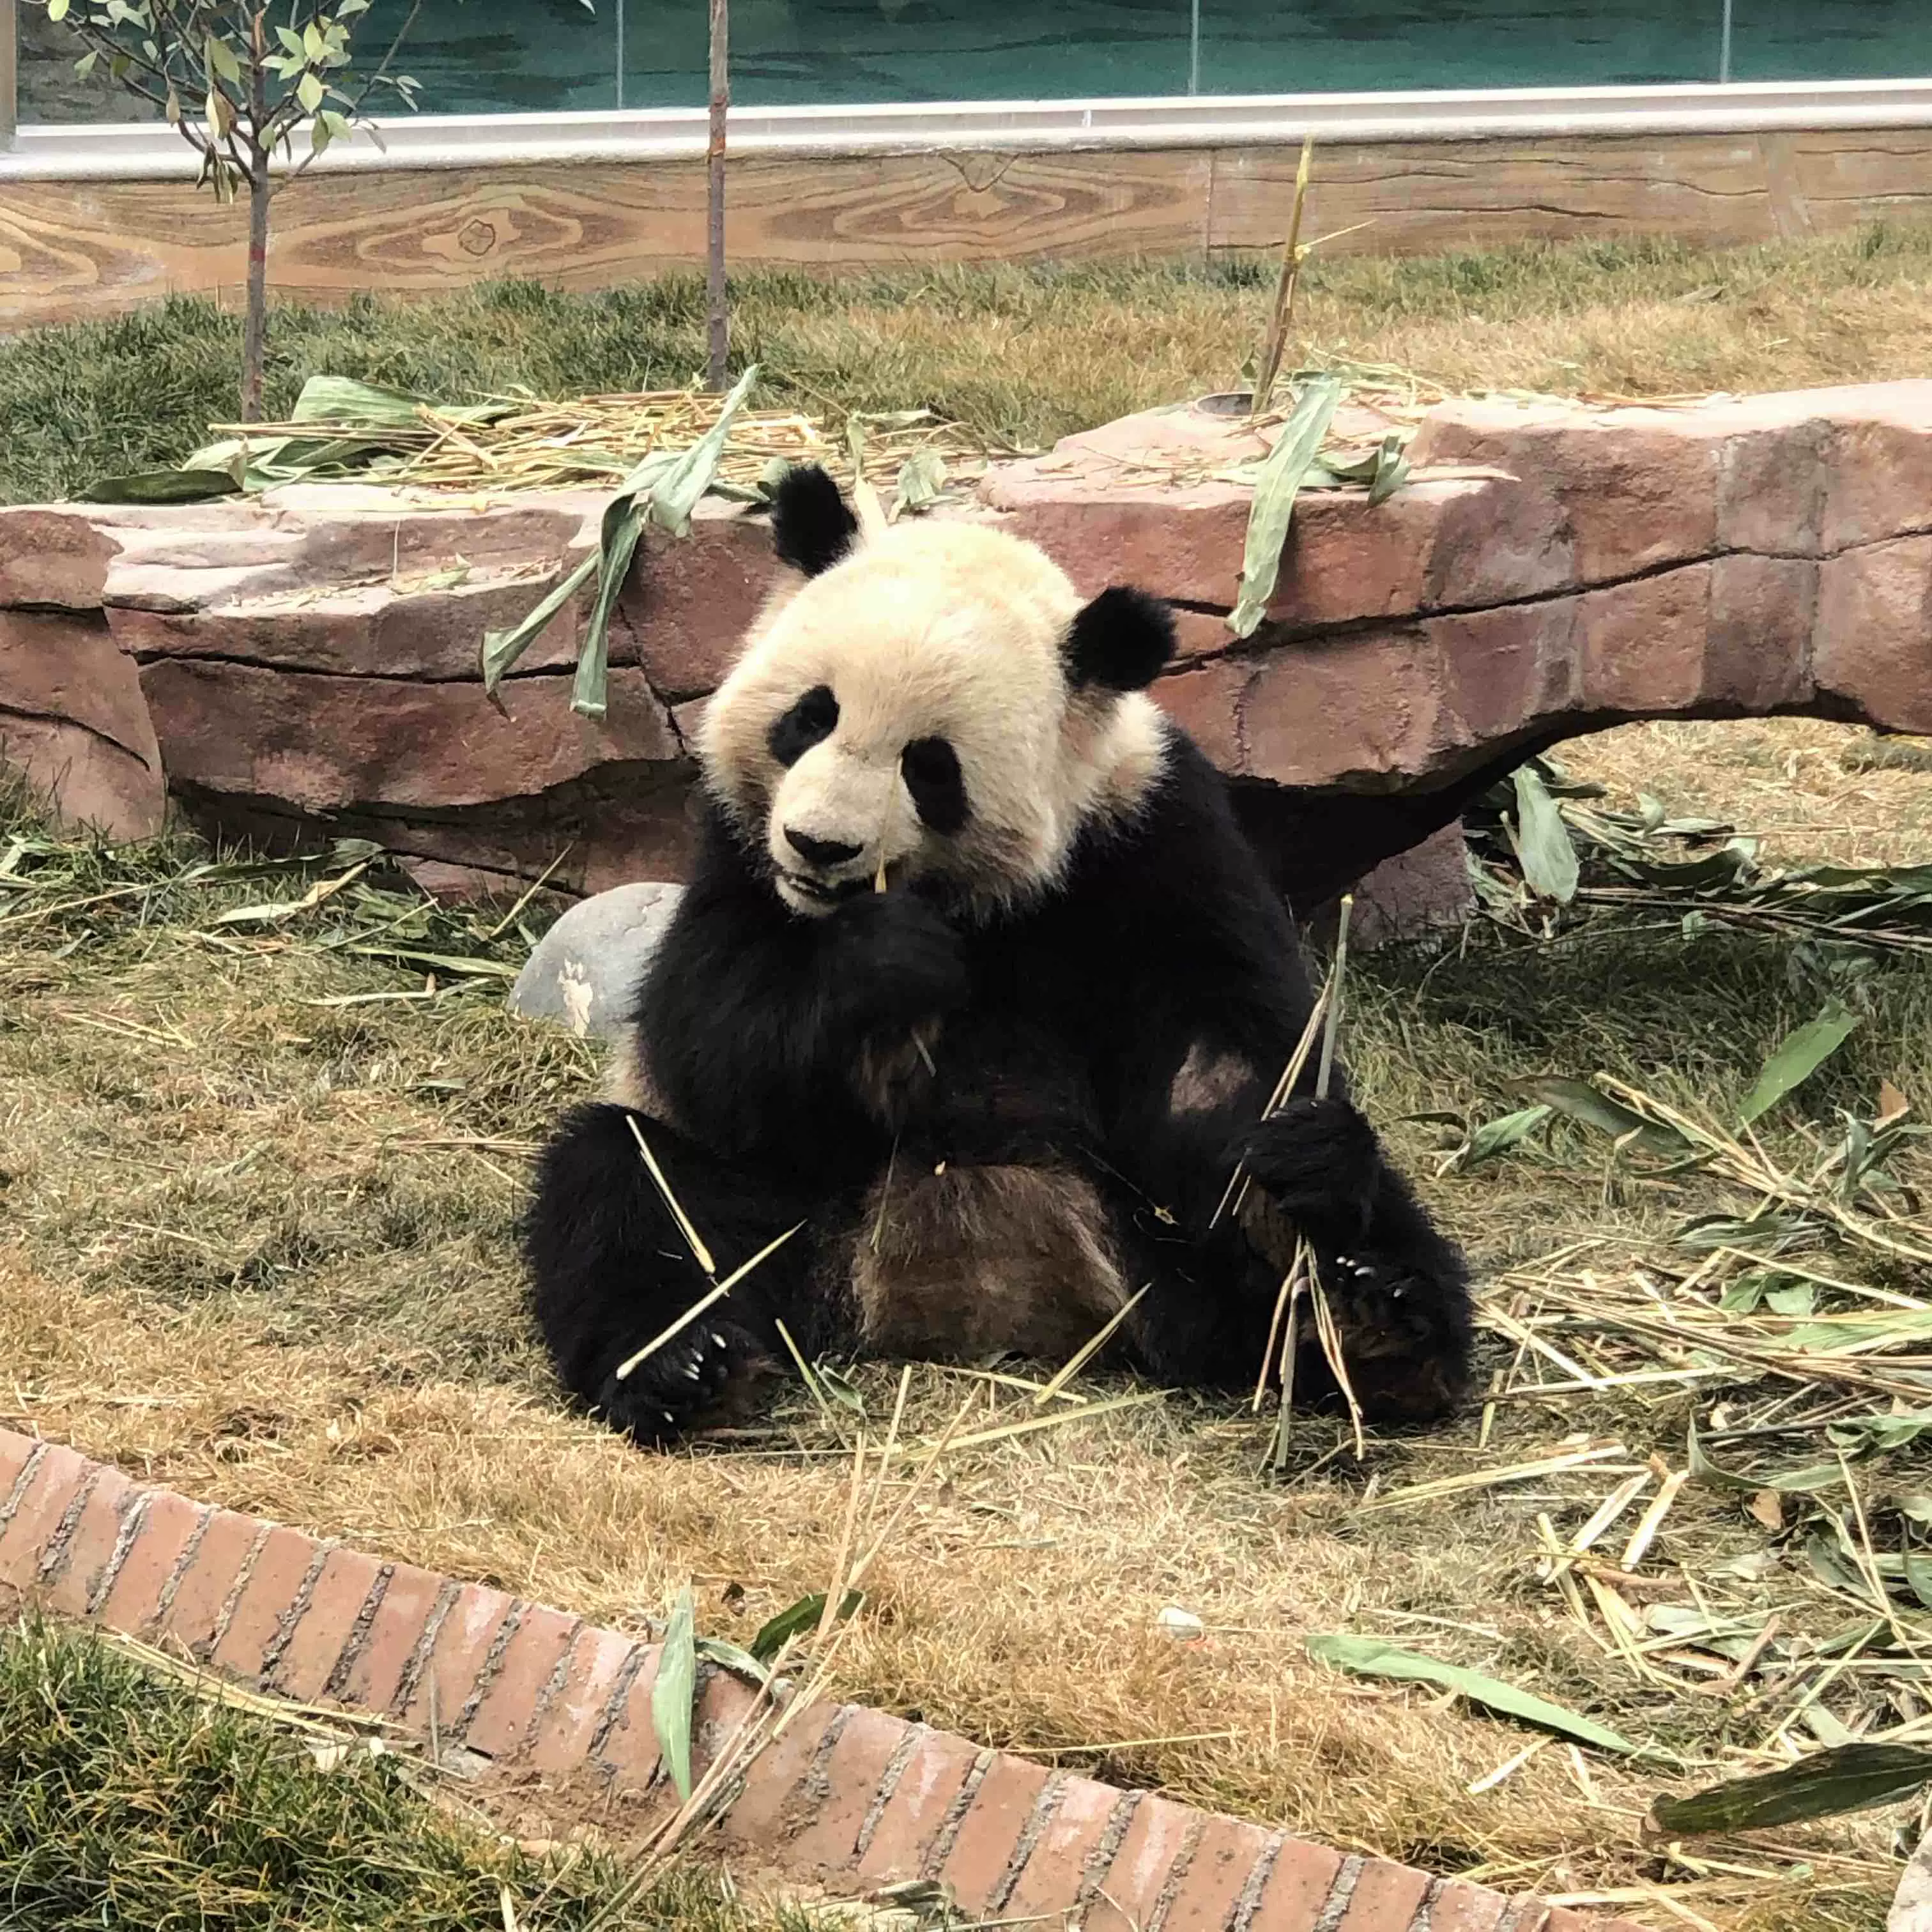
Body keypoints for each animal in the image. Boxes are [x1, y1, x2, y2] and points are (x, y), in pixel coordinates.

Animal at [521, 463, 1468, 1437]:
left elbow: (1218, 1059)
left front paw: (1283, 1152)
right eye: (809, 718)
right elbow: (706, 1044)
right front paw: (885, 962)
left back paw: (1377, 1327)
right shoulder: (736, 847)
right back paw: (687, 1367)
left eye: (929, 766)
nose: (821, 846)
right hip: (789, 1213)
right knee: (631, 1189)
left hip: (1154, 1238)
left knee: (1354, 1228)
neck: (966, 896)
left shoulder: (1153, 832)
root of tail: (970, 1293)